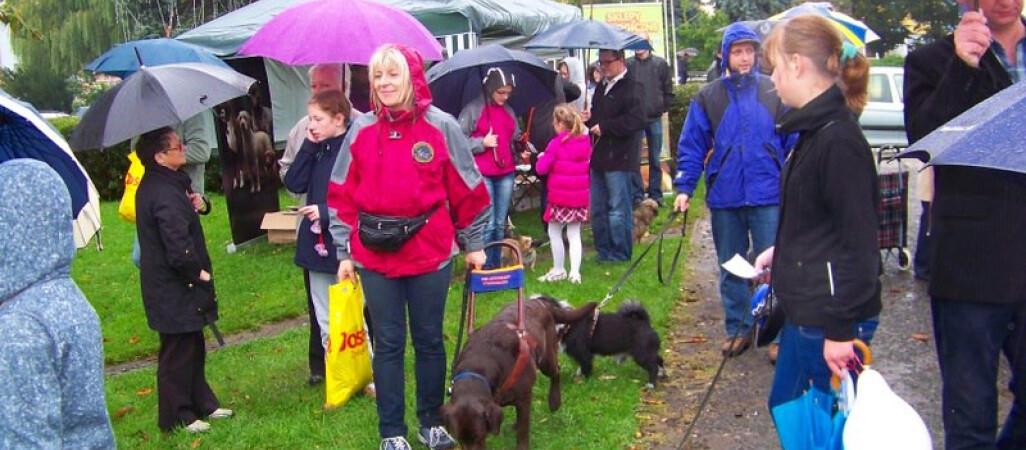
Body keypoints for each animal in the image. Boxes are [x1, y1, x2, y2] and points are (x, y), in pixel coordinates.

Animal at [443, 297, 599, 448]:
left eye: (479, 437)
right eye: (459, 440)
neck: (478, 368)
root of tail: (539, 302)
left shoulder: (523, 398)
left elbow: (523, 431)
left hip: (546, 359)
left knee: (556, 371)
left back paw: (554, 401)